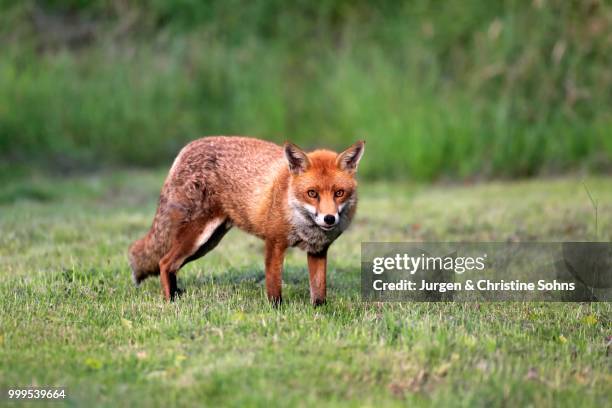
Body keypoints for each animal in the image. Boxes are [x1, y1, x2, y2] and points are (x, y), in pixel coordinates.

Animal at [126, 137, 360, 306]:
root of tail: (187, 148)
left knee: (169, 265)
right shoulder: (274, 243)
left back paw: (176, 296)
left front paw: (320, 312)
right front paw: (276, 311)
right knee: (164, 263)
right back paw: (170, 302)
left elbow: (319, 291)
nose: (329, 218)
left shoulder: (318, 250)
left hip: (208, 242)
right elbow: (274, 286)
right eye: (312, 193)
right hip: (197, 237)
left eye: (339, 193)